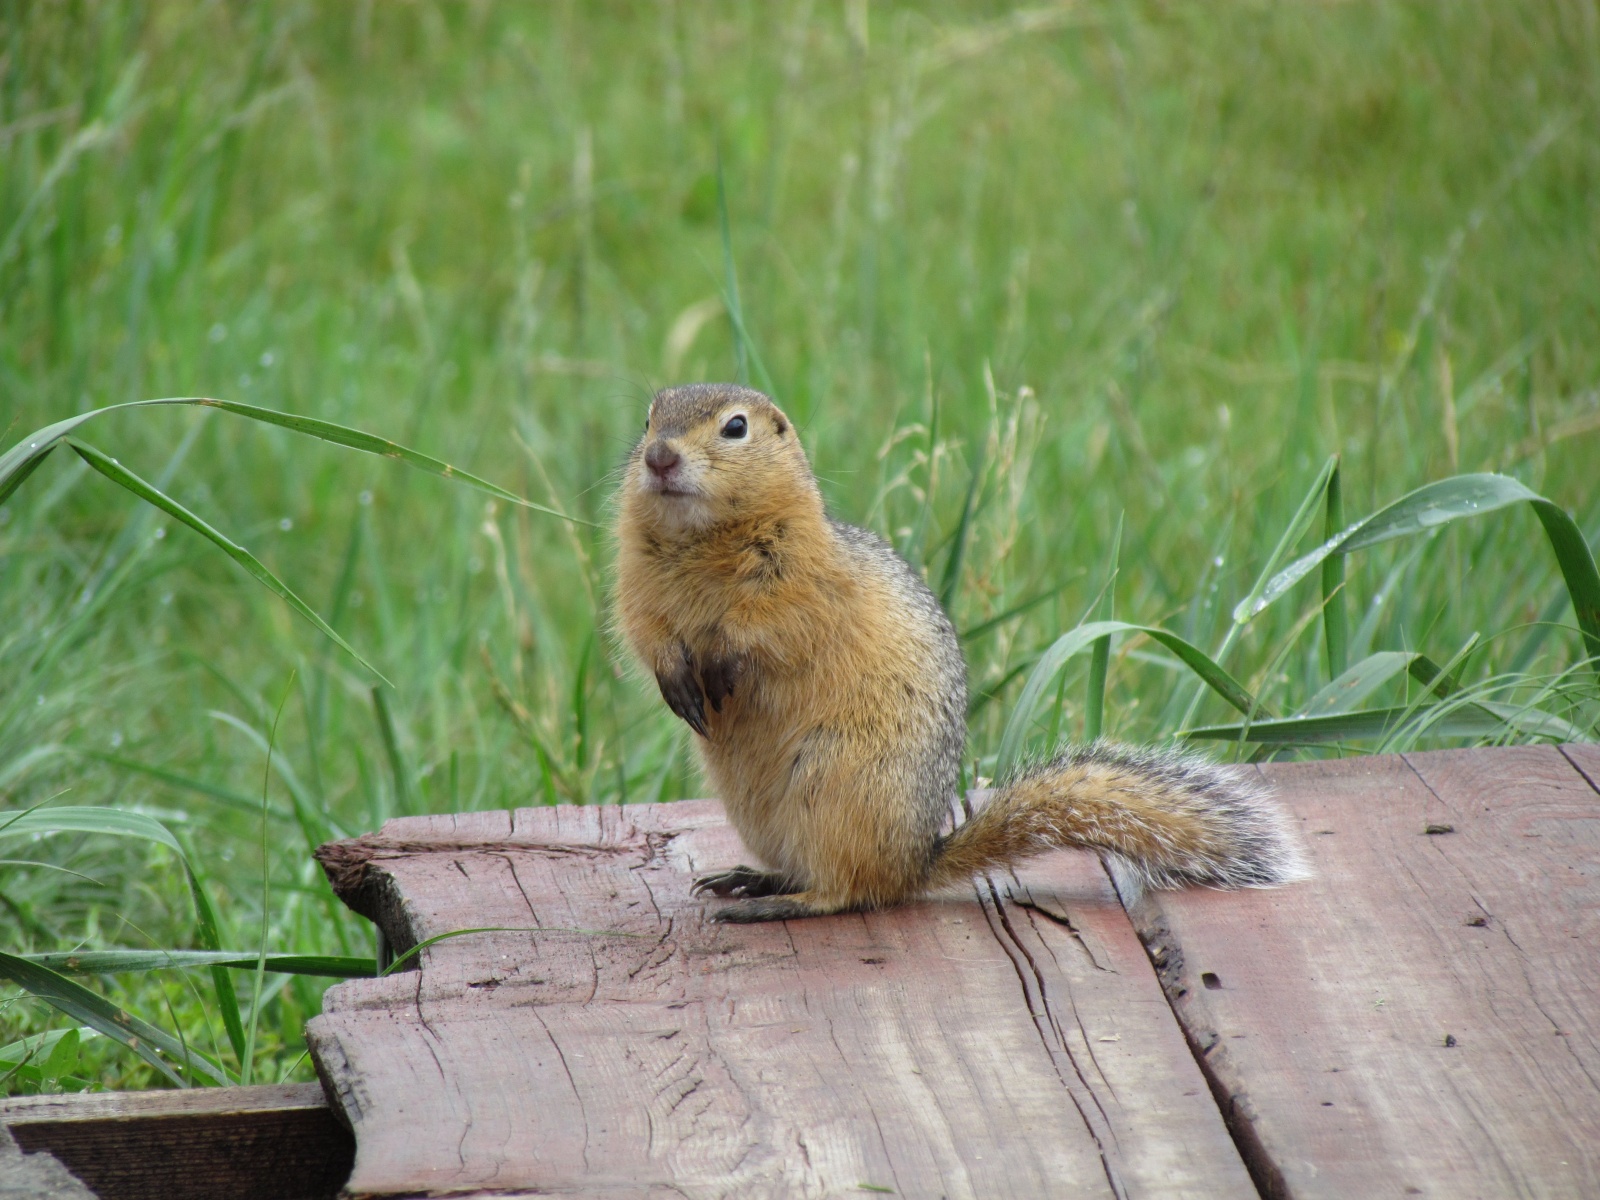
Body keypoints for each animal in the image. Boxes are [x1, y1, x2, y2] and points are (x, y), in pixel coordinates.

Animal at [614, 383, 1309, 923]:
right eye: (647, 418)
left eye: (736, 427)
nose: (659, 457)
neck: (702, 540)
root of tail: (915, 860)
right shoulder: (638, 591)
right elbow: (648, 635)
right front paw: (677, 680)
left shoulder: (798, 581)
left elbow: (767, 628)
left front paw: (722, 660)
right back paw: (752, 879)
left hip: (833, 788)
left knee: (849, 891)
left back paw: (778, 901)